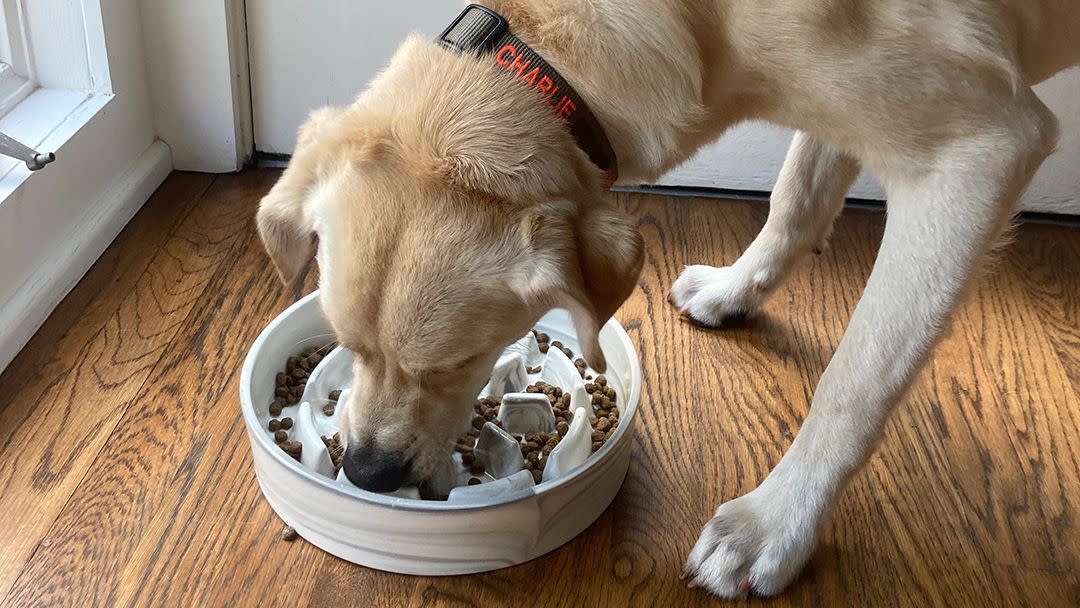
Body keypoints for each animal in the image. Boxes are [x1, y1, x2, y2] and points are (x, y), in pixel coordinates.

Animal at [257, 0, 1075, 600]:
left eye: (453, 365)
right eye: (346, 344)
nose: (367, 476)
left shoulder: (978, 149)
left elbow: (855, 380)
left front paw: (773, 525)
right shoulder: (843, 111)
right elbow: (795, 196)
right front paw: (737, 287)